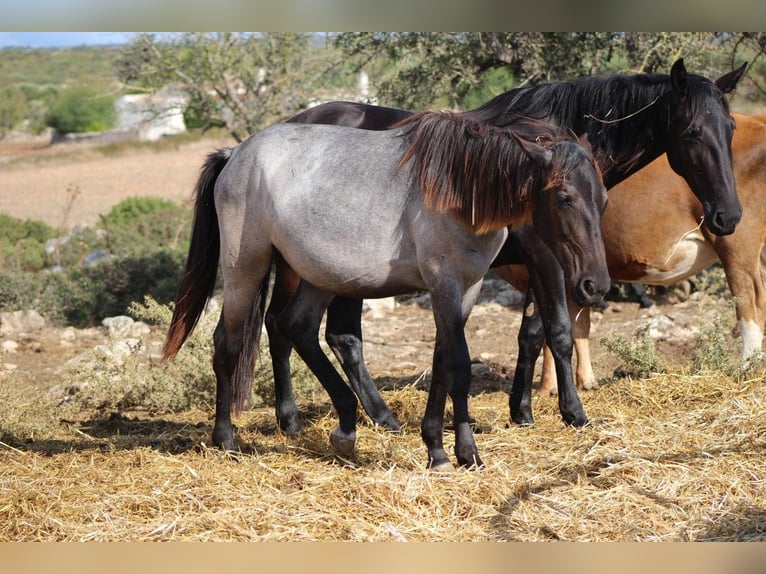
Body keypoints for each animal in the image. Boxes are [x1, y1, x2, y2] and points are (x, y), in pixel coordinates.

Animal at [162, 110, 612, 470]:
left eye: (603, 200)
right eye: (564, 197)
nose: (596, 285)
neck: (460, 189)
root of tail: (236, 154)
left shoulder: (465, 290)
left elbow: (444, 364)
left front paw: (443, 448)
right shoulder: (446, 285)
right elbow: (460, 367)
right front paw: (459, 452)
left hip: (319, 276)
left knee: (296, 327)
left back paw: (346, 425)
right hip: (247, 268)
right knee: (229, 343)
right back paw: (226, 440)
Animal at [532, 112, 766, 396]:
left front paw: (548, 387)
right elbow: (577, 322)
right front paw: (582, 381)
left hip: (736, 245)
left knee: (751, 300)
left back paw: (746, 367)